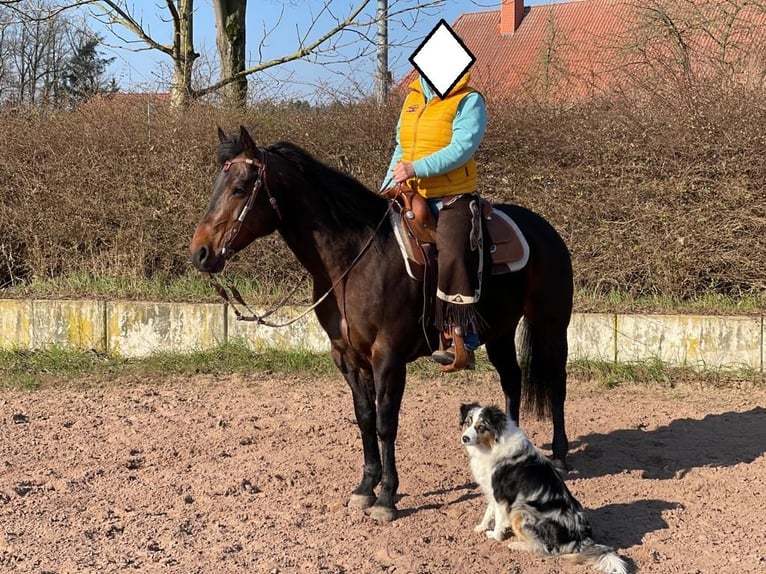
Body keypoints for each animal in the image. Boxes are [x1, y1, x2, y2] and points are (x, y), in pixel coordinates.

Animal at [189, 126, 574, 523]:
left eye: (239, 188)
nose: (200, 253)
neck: (355, 261)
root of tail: (544, 229)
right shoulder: (346, 356)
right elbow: (364, 419)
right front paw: (365, 488)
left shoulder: (387, 358)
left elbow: (386, 423)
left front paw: (387, 496)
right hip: (500, 330)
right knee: (512, 379)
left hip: (551, 323)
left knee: (556, 381)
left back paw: (560, 455)